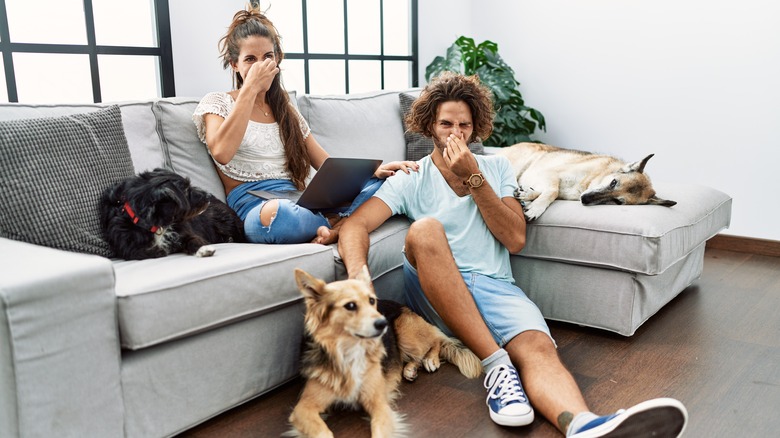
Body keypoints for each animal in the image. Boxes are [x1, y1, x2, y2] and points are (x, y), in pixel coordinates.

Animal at [98, 169, 244, 260]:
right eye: (186, 190)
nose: (208, 196)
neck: (158, 224)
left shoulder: (185, 232)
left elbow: (193, 239)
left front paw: (203, 249)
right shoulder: (127, 247)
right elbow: (143, 251)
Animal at [288, 266, 482, 438]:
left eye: (372, 301)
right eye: (350, 305)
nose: (383, 323)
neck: (350, 351)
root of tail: (404, 306)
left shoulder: (378, 402)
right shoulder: (304, 408)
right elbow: (322, 431)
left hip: (405, 332)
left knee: (435, 342)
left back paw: (430, 359)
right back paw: (410, 369)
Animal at [500, 142, 676, 221]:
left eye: (617, 202)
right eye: (613, 182)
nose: (584, 199)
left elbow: (551, 191)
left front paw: (528, 196)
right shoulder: (549, 173)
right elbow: (552, 190)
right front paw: (534, 208)